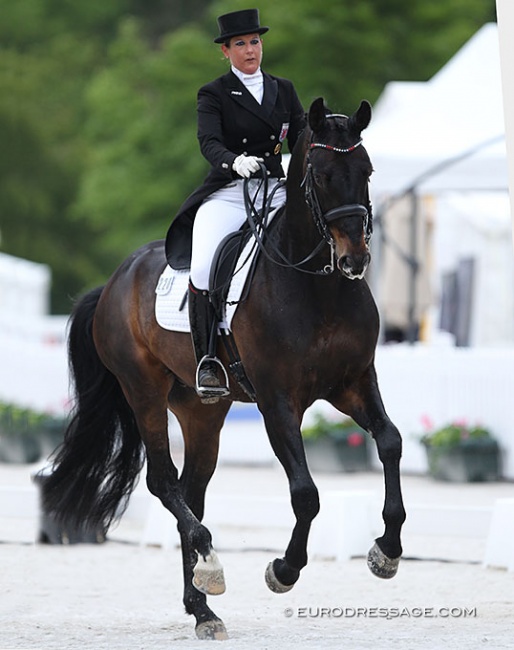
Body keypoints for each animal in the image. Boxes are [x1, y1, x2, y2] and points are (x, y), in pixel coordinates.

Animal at [43, 96, 404, 636]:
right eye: (321, 176)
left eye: (367, 171)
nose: (354, 259)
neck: (318, 286)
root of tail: (115, 280)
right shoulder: (278, 401)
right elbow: (306, 492)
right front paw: (283, 570)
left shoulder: (354, 382)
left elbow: (390, 442)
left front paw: (387, 551)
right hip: (143, 390)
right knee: (164, 482)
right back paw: (211, 568)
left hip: (202, 409)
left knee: (191, 491)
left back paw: (202, 607)